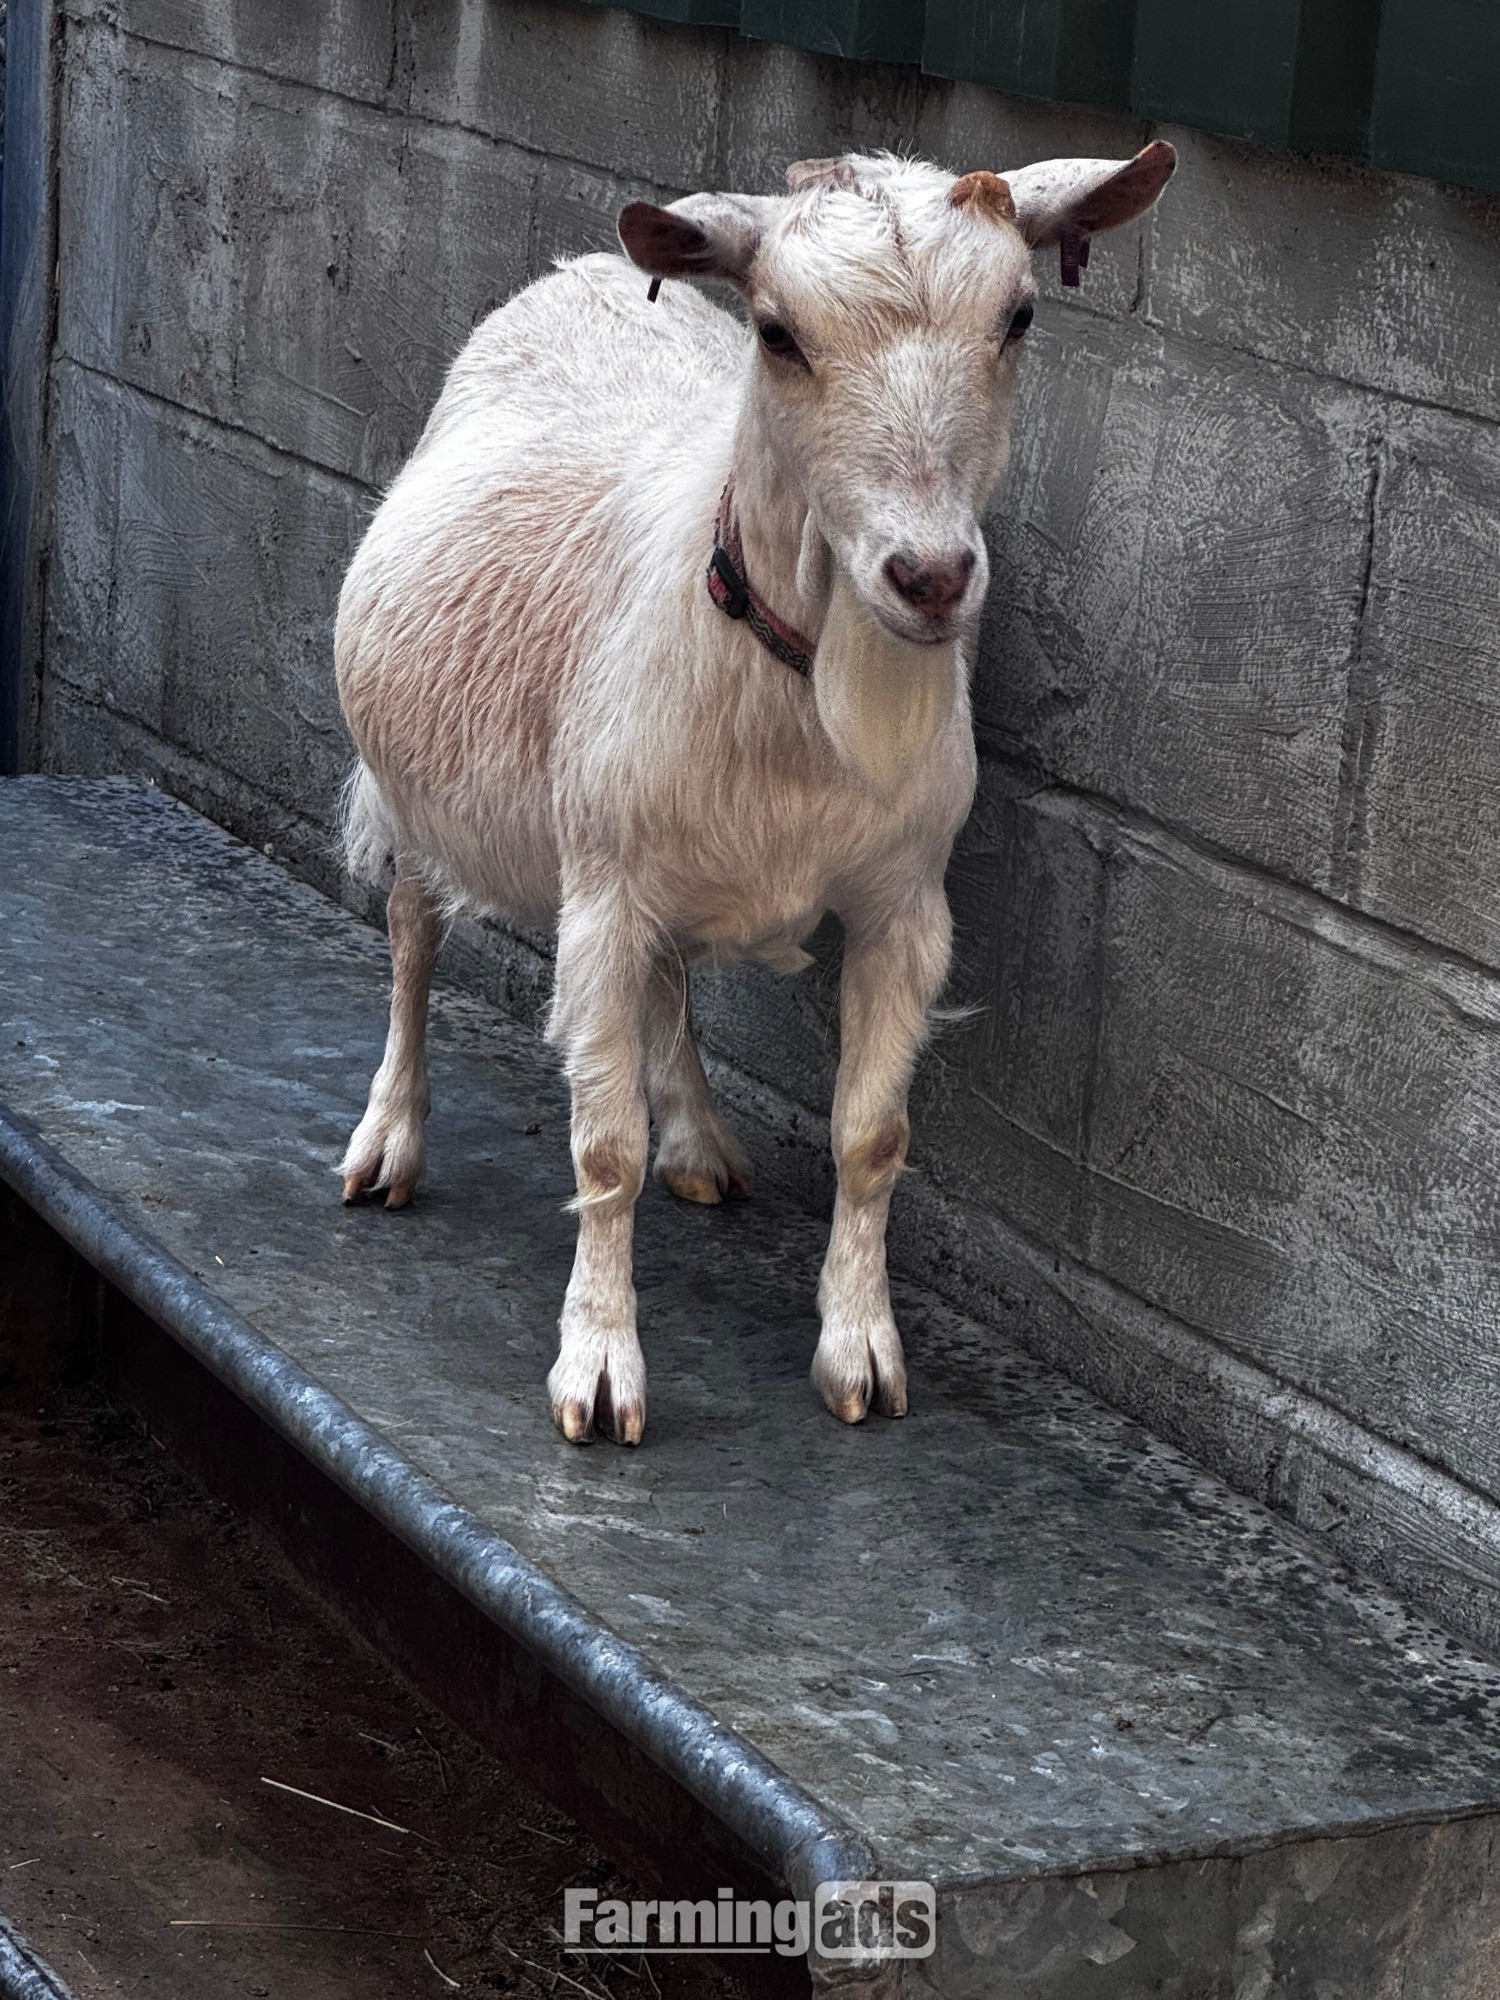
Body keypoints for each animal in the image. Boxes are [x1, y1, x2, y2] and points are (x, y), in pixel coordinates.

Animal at [335, 143, 1176, 1445]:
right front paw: (600, 1370)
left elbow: (872, 1136)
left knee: (671, 980)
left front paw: (861, 1353)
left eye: (1020, 316)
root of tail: (577, 268)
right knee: (413, 938)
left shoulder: (906, 903)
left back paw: (696, 1134)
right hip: (418, 788)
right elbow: (602, 1148)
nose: (930, 575)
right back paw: (387, 1142)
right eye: (778, 333)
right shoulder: (601, 890)